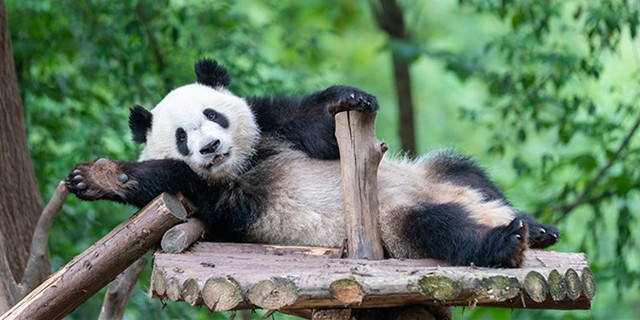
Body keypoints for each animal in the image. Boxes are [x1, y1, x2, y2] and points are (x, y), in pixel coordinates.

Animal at [62, 58, 556, 268]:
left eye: (213, 115)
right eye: (182, 137)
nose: (210, 147)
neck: (244, 163)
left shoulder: (273, 125)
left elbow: (316, 126)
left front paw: (350, 98)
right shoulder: (227, 202)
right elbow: (179, 180)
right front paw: (97, 177)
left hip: (435, 174)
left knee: (470, 173)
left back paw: (535, 228)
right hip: (393, 224)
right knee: (440, 228)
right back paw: (506, 240)